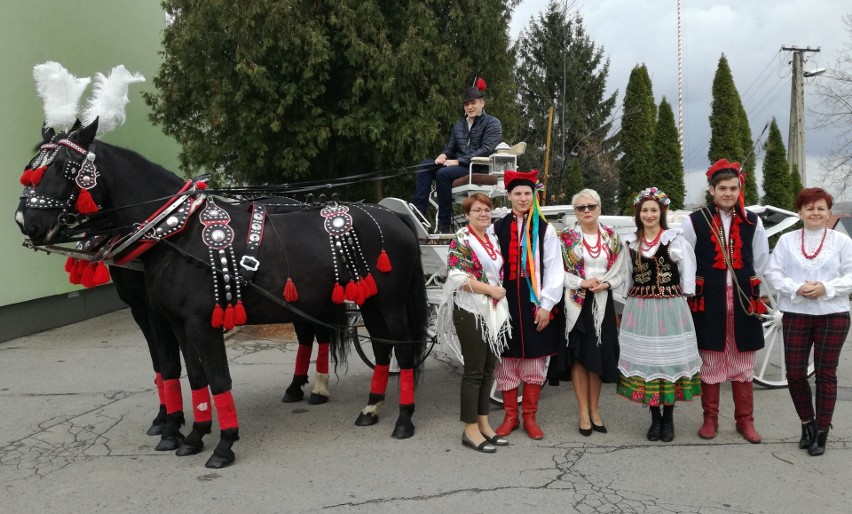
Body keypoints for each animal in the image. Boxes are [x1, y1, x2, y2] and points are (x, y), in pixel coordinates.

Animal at [21, 118, 426, 466]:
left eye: (63, 168)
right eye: (31, 166)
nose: (27, 222)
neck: (176, 232)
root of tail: (395, 217)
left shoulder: (199, 324)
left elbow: (215, 378)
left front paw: (222, 443)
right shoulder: (176, 323)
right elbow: (191, 375)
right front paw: (192, 435)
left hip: (389, 304)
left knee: (403, 353)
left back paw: (403, 420)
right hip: (367, 303)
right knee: (380, 349)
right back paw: (370, 408)